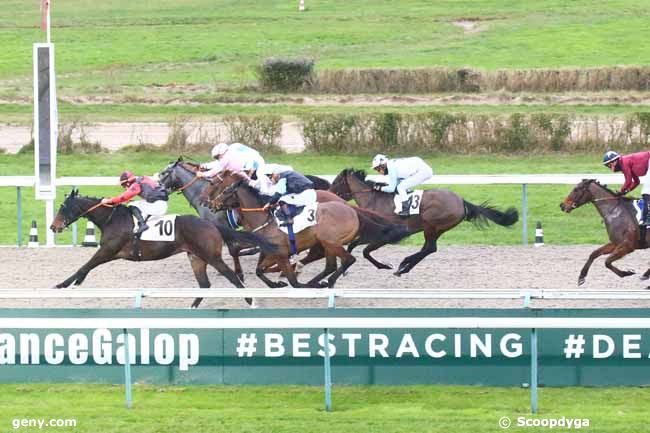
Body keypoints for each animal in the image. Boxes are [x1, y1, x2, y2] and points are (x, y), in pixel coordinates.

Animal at [48, 189, 276, 308]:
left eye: (63, 207)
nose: (53, 226)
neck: (111, 219)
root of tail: (210, 224)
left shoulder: (109, 250)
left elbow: (84, 266)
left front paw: (63, 284)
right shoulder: (109, 252)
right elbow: (86, 267)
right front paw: (72, 282)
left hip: (212, 257)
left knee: (232, 277)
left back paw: (252, 302)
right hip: (196, 257)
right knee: (204, 284)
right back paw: (192, 307)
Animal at [202, 170, 408, 288]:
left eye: (223, 189)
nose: (209, 204)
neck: (263, 216)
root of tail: (351, 209)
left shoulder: (280, 253)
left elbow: (293, 282)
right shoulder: (269, 251)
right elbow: (260, 269)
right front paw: (276, 283)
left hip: (330, 242)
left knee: (348, 259)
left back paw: (326, 282)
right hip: (326, 244)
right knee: (331, 265)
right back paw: (318, 279)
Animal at [330, 167, 516, 276]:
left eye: (337, 181)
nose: (328, 191)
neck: (373, 200)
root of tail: (461, 201)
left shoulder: (386, 236)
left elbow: (365, 251)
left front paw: (384, 266)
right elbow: (353, 246)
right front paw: (344, 268)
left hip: (431, 224)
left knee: (429, 248)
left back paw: (403, 265)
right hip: (437, 229)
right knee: (429, 248)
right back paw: (404, 267)